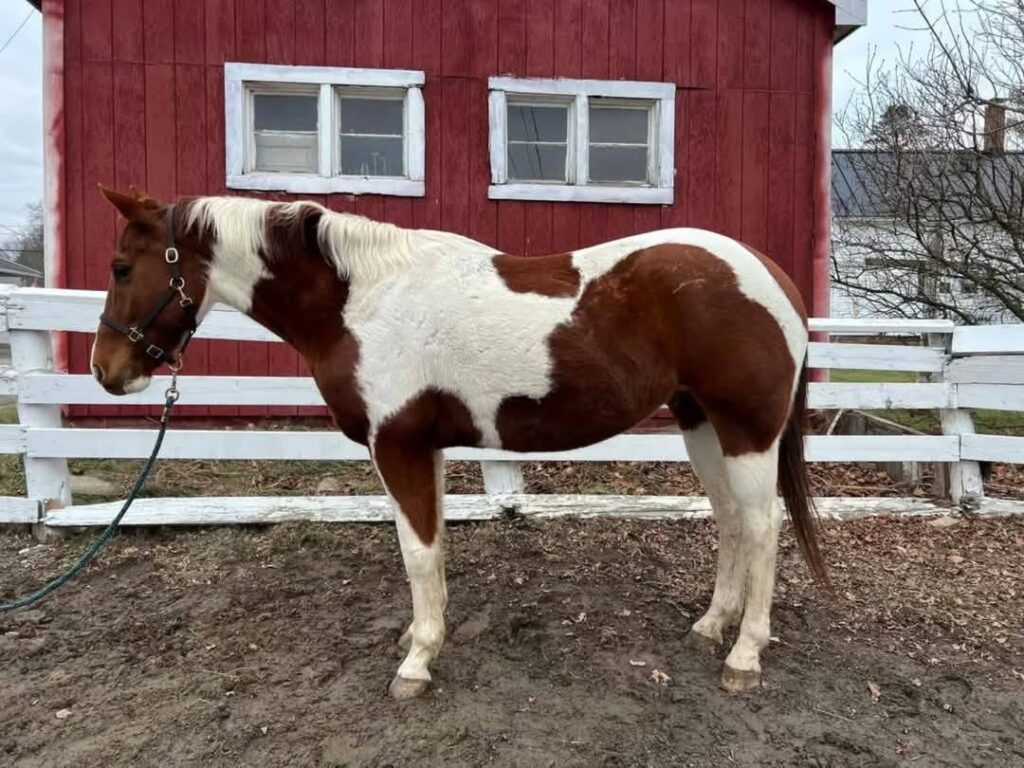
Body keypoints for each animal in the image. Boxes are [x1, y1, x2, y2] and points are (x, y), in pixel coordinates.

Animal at [92, 185, 827, 696]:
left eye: (123, 267)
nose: (107, 371)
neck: (362, 300)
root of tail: (772, 277)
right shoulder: (427, 448)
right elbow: (434, 549)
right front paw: (422, 639)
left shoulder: (398, 445)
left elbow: (416, 554)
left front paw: (417, 664)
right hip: (701, 422)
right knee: (730, 520)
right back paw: (710, 626)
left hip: (746, 431)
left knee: (761, 528)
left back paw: (744, 655)